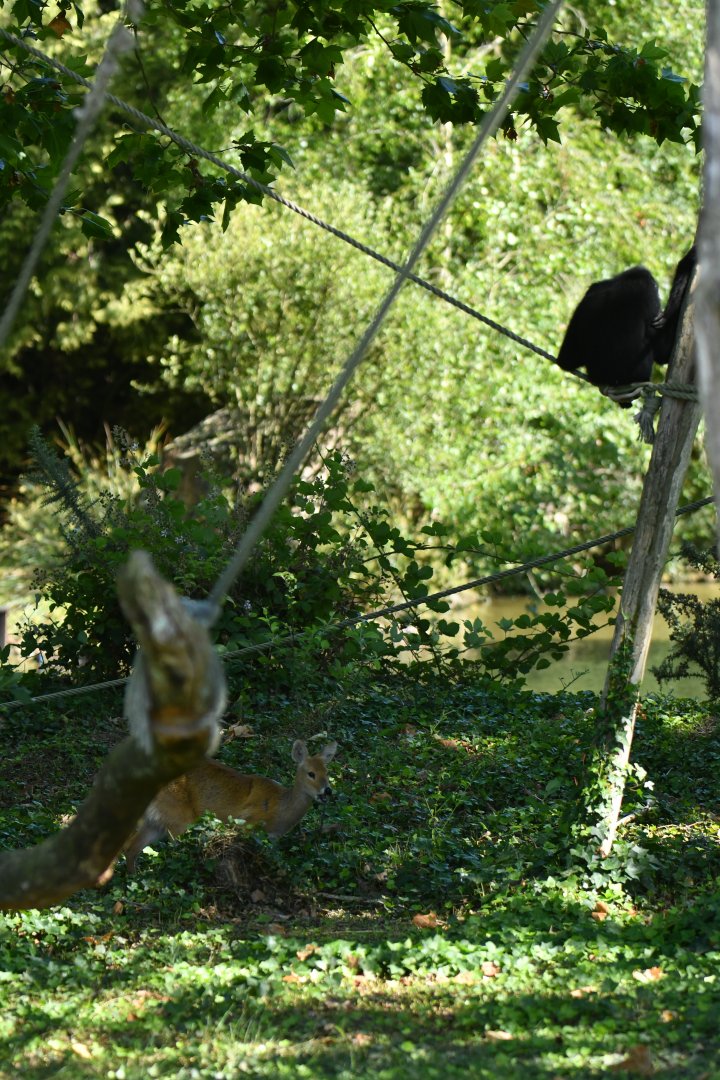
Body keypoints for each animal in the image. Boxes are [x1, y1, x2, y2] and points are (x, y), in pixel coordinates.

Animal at [123, 739, 337, 872]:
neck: (279, 810)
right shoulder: (245, 824)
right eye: (311, 773)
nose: (327, 791)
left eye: (327, 772)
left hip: (156, 822)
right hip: (179, 818)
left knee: (131, 849)